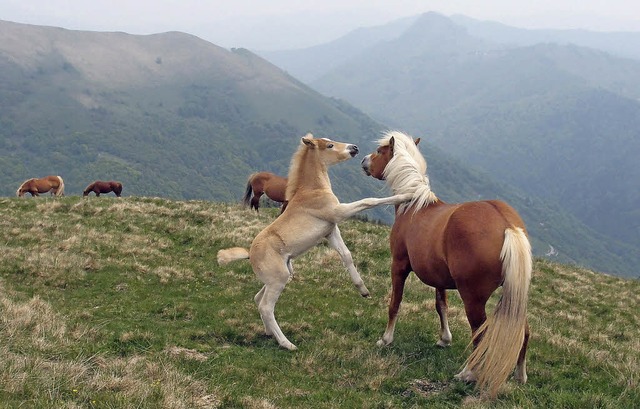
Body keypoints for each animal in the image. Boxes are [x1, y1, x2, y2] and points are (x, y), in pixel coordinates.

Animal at [218, 132, 412, 350]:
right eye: (329, 145)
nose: (354, 148)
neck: (312, 190)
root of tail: (250, 254)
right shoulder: (338, 213)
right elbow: (368, 201)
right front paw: (406, 195)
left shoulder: (331, 230)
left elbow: (346, 255)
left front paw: (363, 290)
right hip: (278, 278)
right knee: (266, 307)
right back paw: (287, 343)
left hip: (281, 274)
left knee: (258, 299)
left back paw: (269, 333)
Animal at [362, 131, 532, 398]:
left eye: (380, 151)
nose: (364, 161)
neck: (414, 205)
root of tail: (507, 224)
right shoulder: (438, 278)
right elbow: (440, 306)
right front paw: (444, 339)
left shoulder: (398, 266)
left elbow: (395, 303)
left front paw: (386, 339)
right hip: (514, 295)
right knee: (523, 331)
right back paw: (520, 375)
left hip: (473, 298)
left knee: (480, 334)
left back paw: (468, 374)